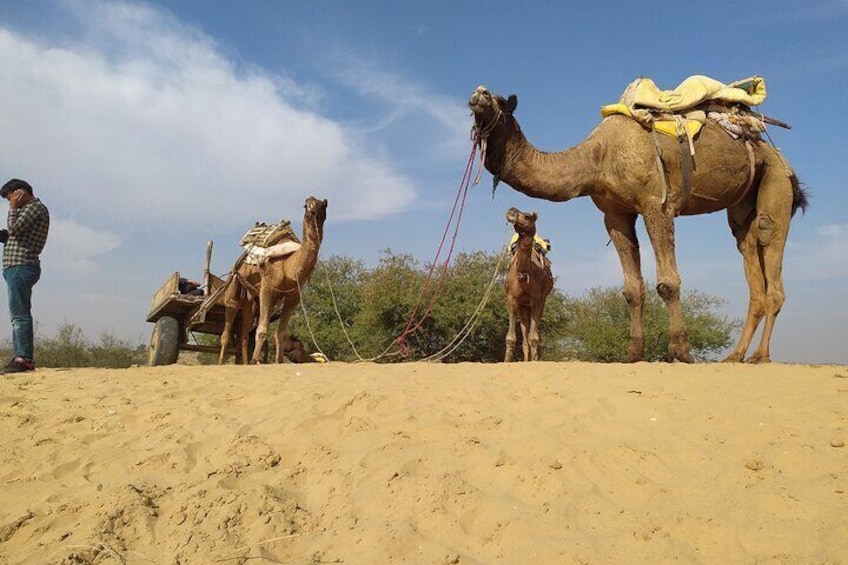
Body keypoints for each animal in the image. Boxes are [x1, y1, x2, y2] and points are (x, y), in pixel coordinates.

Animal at [219, 196, 328, 364]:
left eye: (323, 205)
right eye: (305, 205)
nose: (312, 210)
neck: (289, 267)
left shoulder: (294, 296)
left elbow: (281, 332)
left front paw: (278, 361)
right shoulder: (267, 288)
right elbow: (262, 330)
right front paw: (256, 361)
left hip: (252, 300)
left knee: (245, 333)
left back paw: (244, 362)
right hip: (235, 282)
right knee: (227, 328)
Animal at [506, 207, 552, 362]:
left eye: (527, 216)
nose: (511, 211)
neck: (524, 274)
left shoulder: (537, 299)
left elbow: (534, 337)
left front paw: (535, 361)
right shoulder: (511, 298)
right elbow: (511, 338)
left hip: (540, 302)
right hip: (523, 307)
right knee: (525, 337)